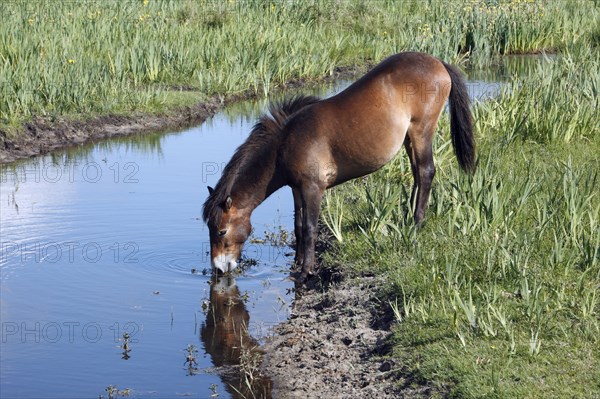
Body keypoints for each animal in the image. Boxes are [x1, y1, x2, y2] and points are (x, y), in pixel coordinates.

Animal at [204, 52, 476, 282]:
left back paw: (417, 223)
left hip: (421, 132)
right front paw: (296, 264)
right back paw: (408, 219)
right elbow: (298, 226)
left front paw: (305, 272)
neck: (285, 142)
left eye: (221, 231)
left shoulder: (313, 188)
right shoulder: (297, 189)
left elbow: (310, 228)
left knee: (426, 172)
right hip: (410, 138)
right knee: (418, 175)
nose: (218, 268)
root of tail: (438, 62)